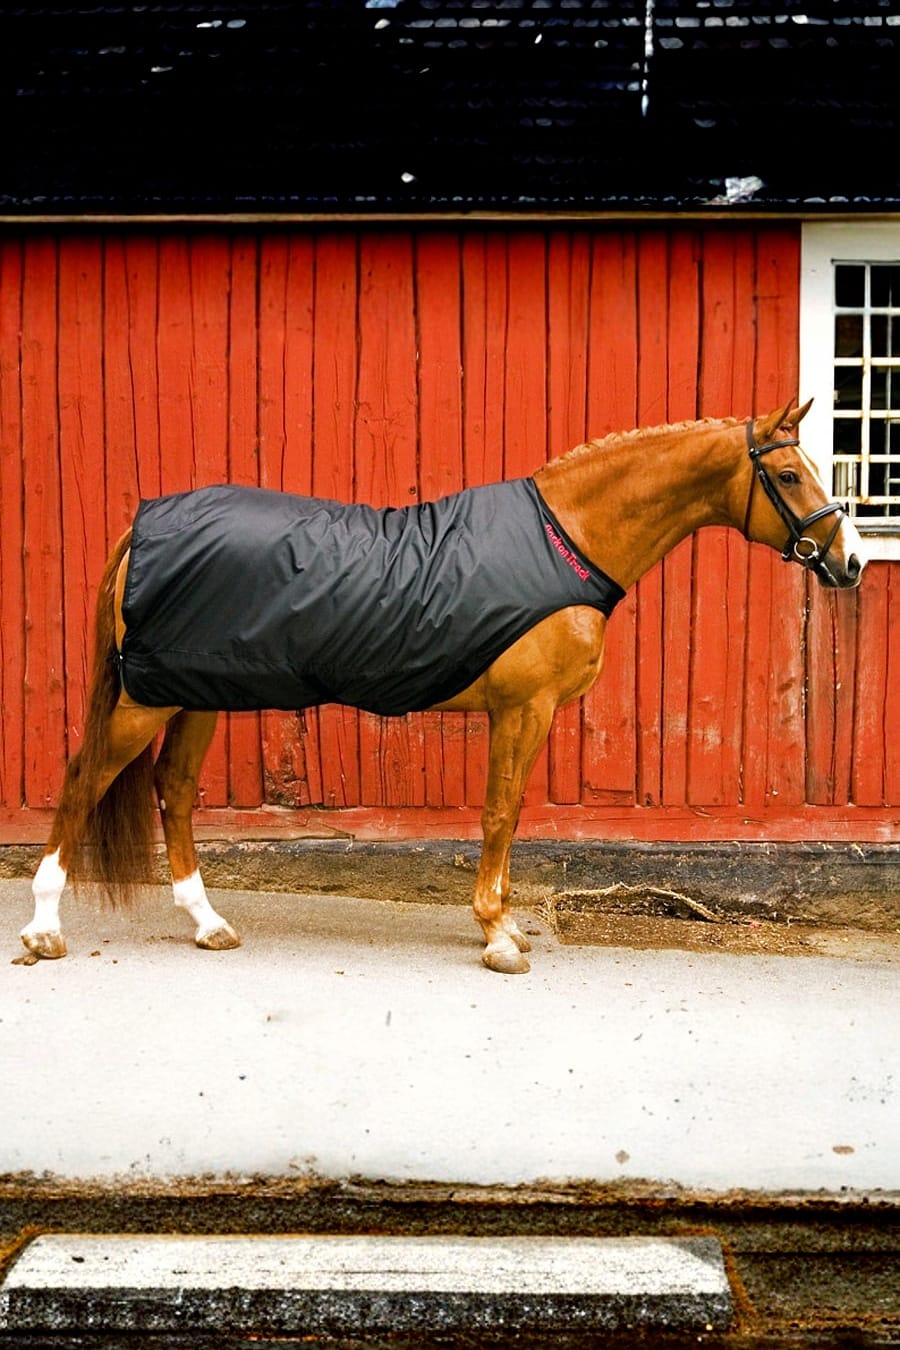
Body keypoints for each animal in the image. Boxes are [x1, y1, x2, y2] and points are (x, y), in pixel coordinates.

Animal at [18, 400, 865, 975]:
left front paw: (507, 925)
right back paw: (44, 929)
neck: (566, 540)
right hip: (149, 698)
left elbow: (508, 817)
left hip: (196, 691)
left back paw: (206, 922)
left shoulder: (523, 713)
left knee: (174, 788)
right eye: (788, 474)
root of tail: (141, 527)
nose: (852, 561)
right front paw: (497, 934)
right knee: (83, 779)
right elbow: (498, 816)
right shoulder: (523, 709)